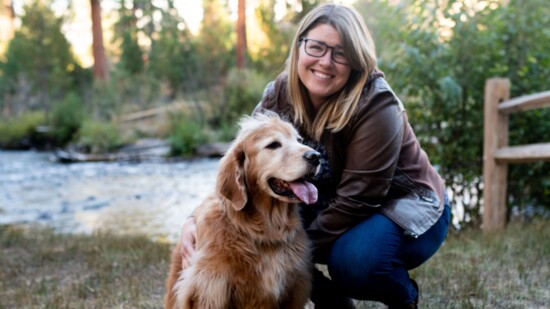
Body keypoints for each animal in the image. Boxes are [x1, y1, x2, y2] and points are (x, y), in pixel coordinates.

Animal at [165, 113, 320, 308]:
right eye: (273, 145)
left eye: (299, 140)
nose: (316, 156)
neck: (265, 230)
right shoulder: (210, 290)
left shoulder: (294, 289)